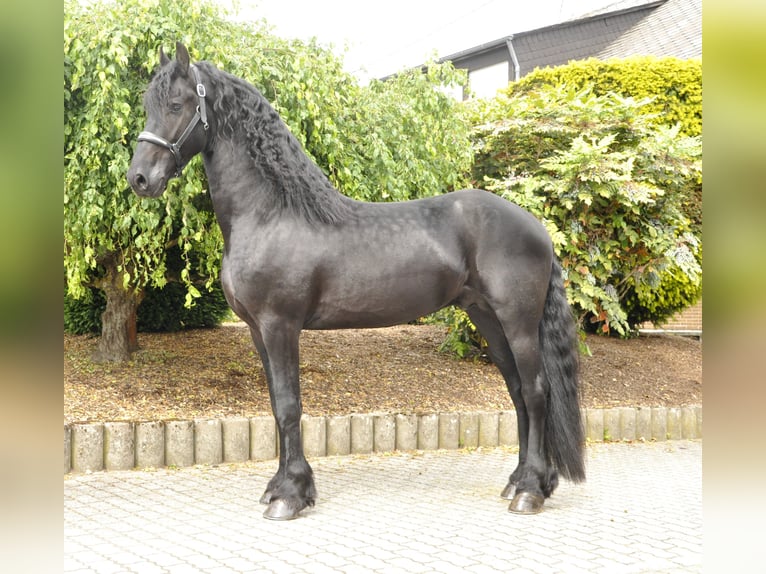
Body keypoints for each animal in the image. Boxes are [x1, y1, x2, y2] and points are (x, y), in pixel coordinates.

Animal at [127, 42, 585, 520]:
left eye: (176, 104)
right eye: (147, 105)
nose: (139, 178)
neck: (272, 213)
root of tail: (537, 227)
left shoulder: (279, 326)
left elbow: (289, 406)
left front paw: (290, 495)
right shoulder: (257, 330)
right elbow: (275, 404)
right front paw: (281, 487)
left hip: (518, 323)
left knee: (536, 391)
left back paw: (530, 491)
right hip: (487, 318)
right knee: (516, 391)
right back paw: (520, 480)